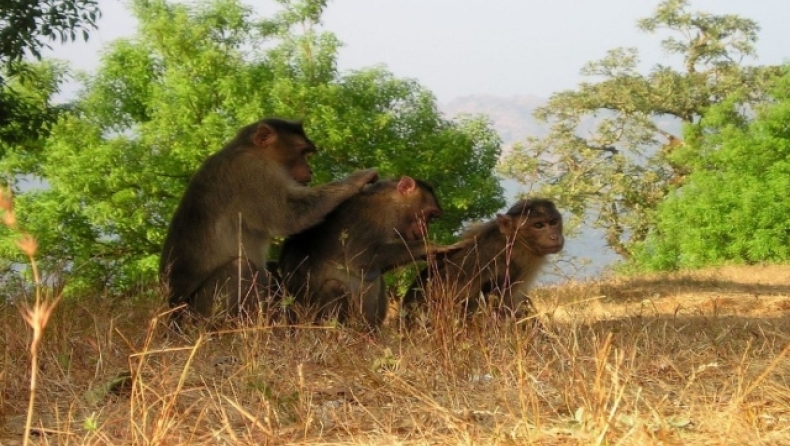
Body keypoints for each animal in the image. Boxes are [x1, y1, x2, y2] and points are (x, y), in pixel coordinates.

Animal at [159, 116, 378, 322]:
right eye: (302, 153)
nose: (310, 170)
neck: (248, 149)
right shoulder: (251, 171)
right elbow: (290, 214)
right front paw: (356, 180)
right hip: (195, 315)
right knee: (241, 268)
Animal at [282, 177, 460, 328]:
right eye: (428, 215)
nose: (425, 229)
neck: (393, 203)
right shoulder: (372, 218)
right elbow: (361, 259)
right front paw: (429, 247)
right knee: (333, 286)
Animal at [406, 199, 568, 320]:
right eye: (538, 225)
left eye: (554, 222)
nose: (554, 237)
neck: (514, 239)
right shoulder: (516, 260)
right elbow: (504, 303)